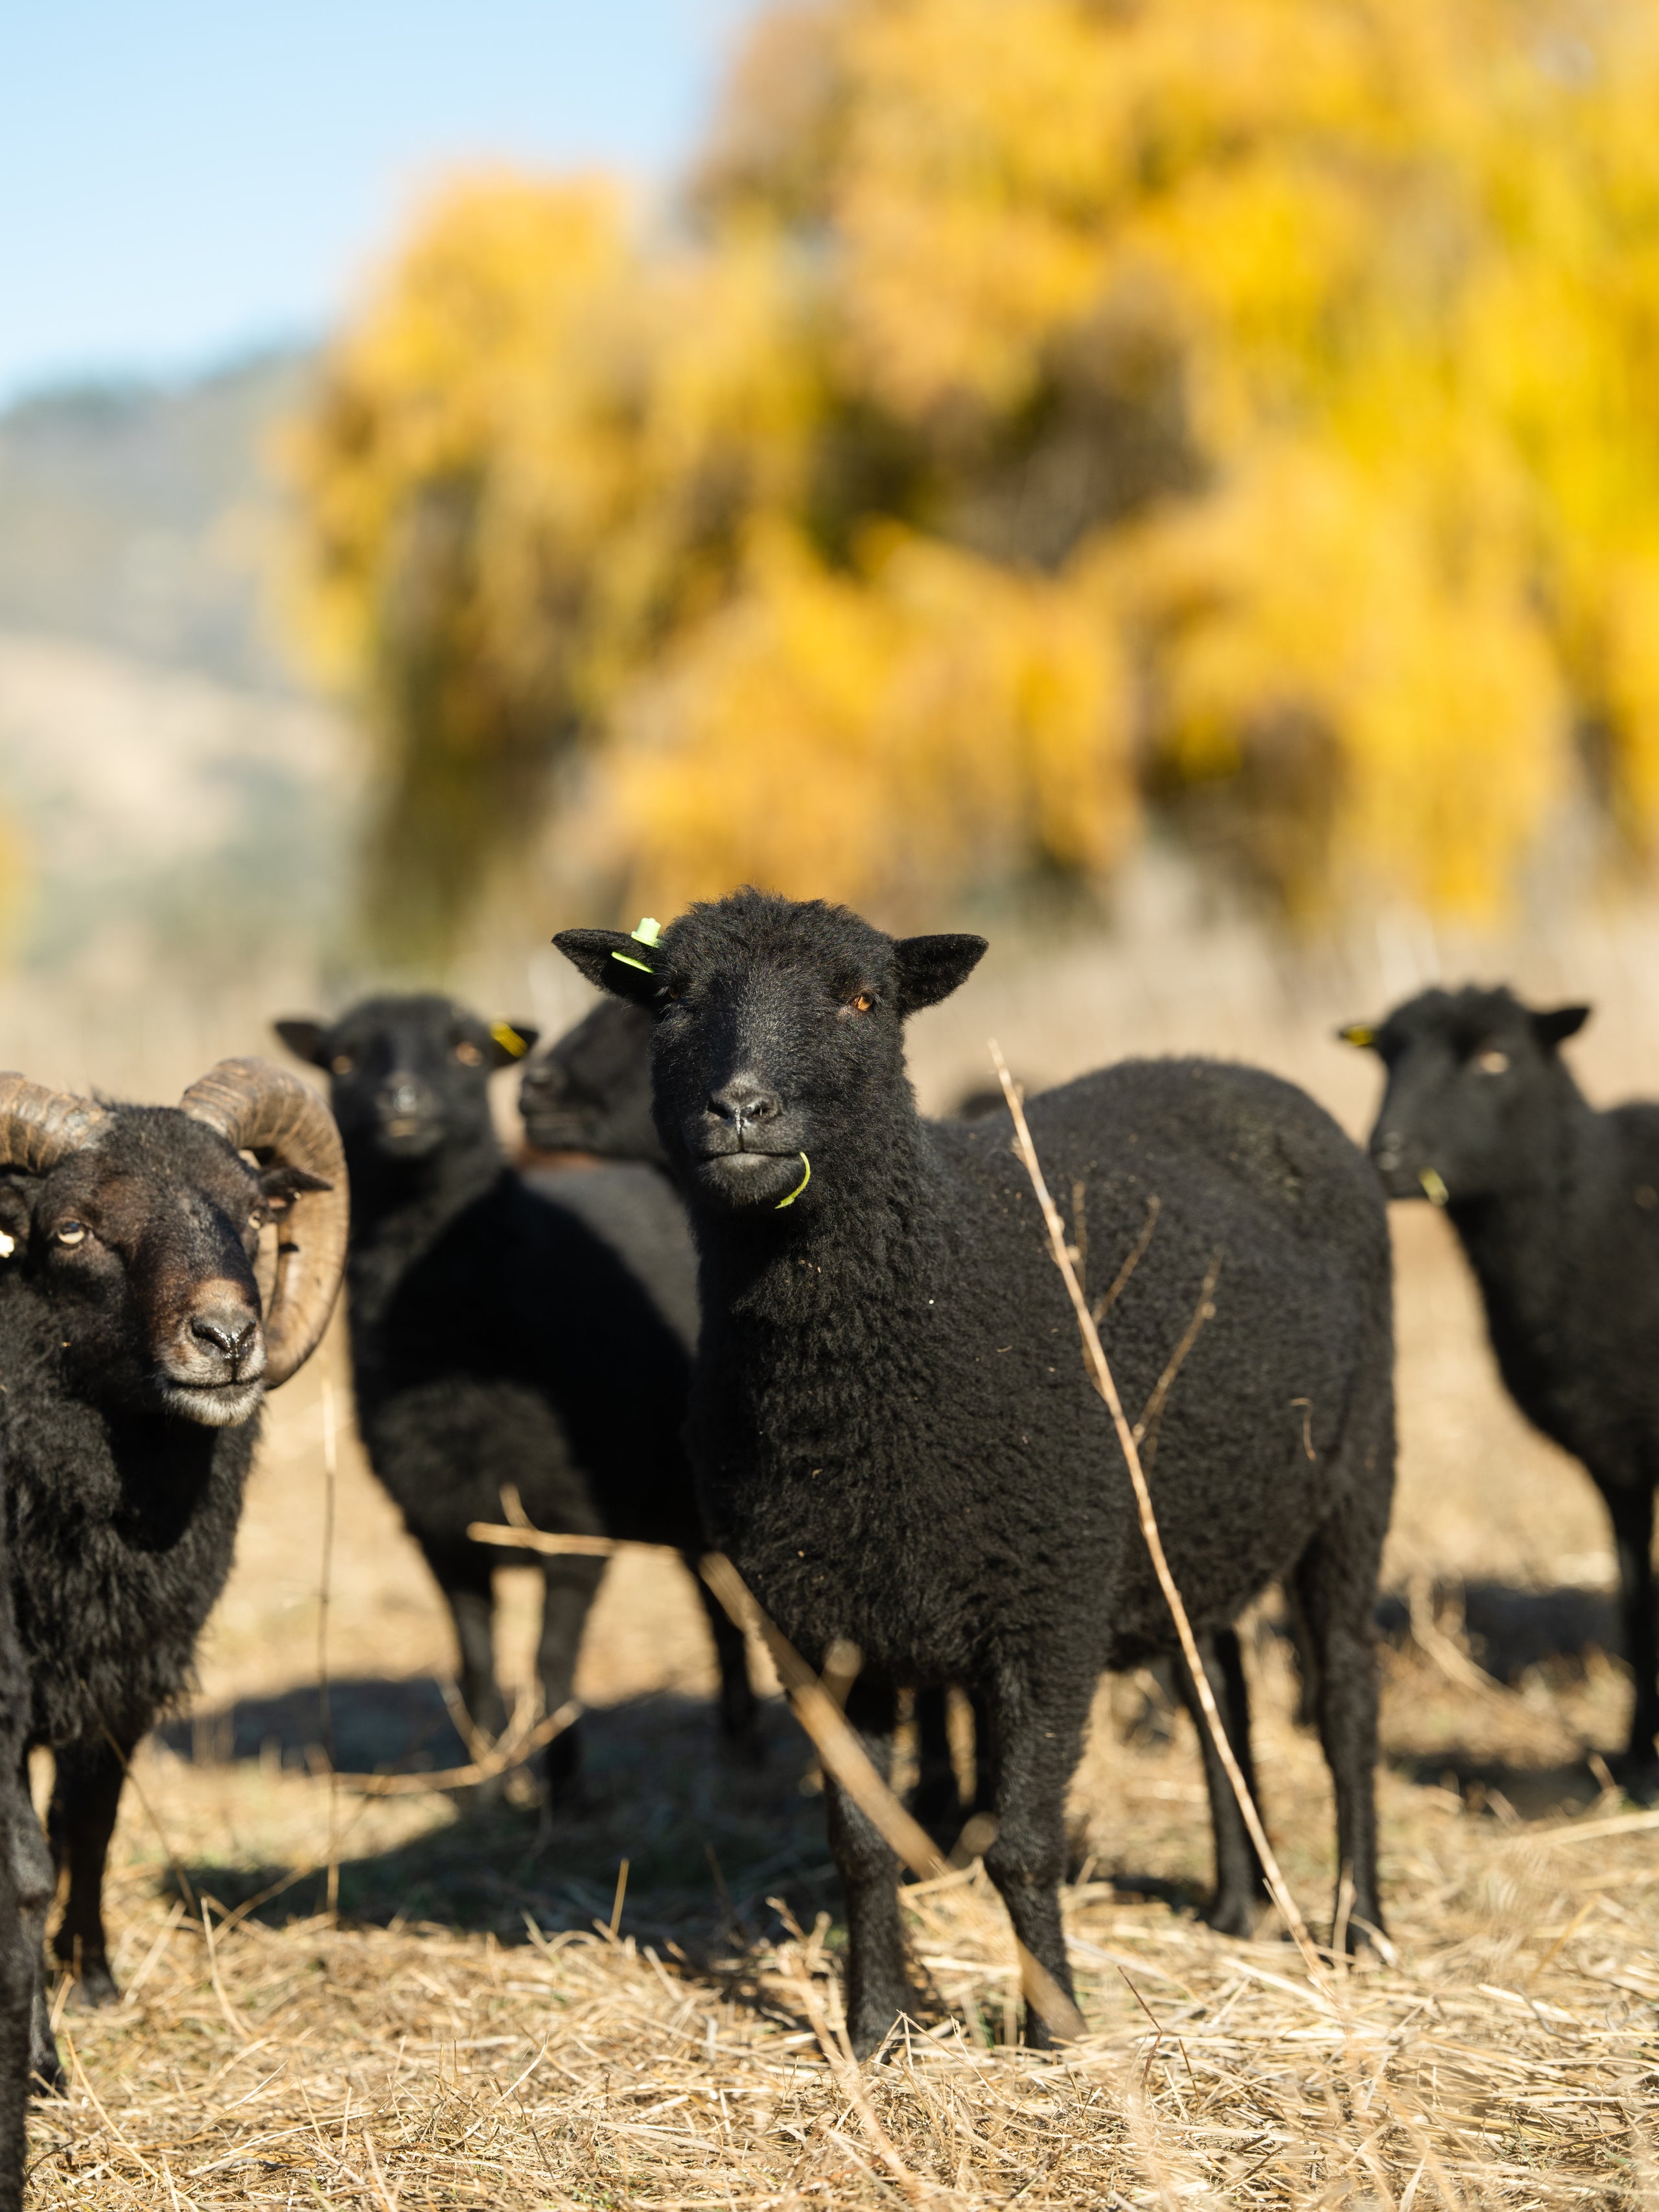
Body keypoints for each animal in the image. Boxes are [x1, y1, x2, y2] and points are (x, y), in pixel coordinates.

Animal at [0, 1061, 346, 2078]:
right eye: (71, 1228)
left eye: (252, 1209)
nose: (228, 1338)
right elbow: (24, 1860)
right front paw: (38, 2056)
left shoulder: (127, 1669)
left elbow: (89, 1826)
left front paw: (94, 1979)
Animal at [274, 995, 761, 1796]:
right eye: (343, 1059)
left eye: (468, 1053)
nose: (402, 1102)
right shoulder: (444, 1529)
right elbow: (477, 1666)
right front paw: (490, 1784)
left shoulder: (576, 1525)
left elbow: (551, 1665)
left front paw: (562, 1790)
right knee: (715, 1600)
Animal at [556, 890, 1396, 2050]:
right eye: (671, 998)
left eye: (864, 1000)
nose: (742, 1110)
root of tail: (1240, 1070)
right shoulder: (815, 1625)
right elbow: (864, 1842)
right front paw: (874, 2028)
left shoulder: (1047, 1601)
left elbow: (1023, 1845)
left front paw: (1057, 2029)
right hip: (1195, 1518)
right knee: (1217, 1684)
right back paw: (1240, 1903)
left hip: (1357, 1473)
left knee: (1350, 1697)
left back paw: (1359, 1925)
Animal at [1343, 984, 1659, 1788]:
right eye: (1384, 1056)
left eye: (1493, 1058)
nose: (1385, 1153)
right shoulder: (1613, 1453)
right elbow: (1636, 1595)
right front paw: (1635, 1757)